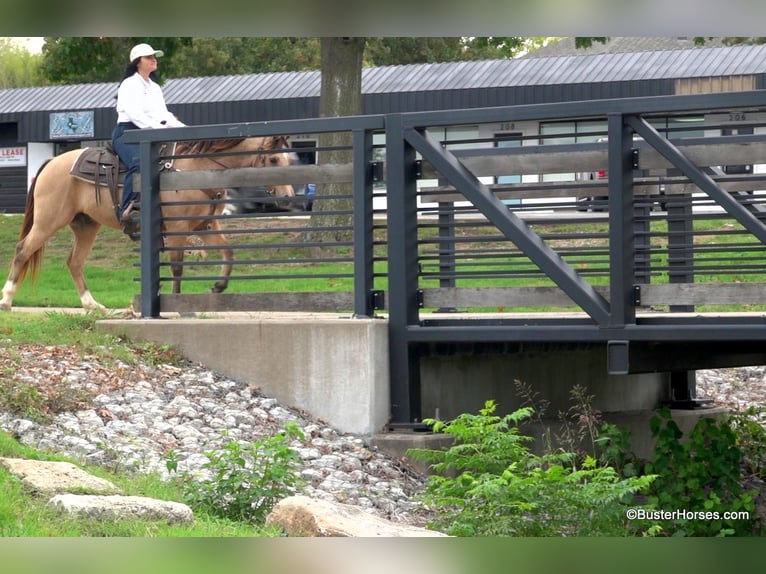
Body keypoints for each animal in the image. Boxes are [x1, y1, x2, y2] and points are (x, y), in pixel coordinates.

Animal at [0, 134, 296, 312]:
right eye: (273, 158)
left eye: (287, 157)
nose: (288, 197)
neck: (195, 168)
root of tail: (51, 162)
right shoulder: (178, 230)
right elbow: (177, 267)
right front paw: (176, 301)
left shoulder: (205, 226)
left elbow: (229, 252)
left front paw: (218, 286)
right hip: (49, 221)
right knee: (23, 250)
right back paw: (7, 299)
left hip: (85, 225)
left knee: (74, 262)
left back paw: (93, 305)